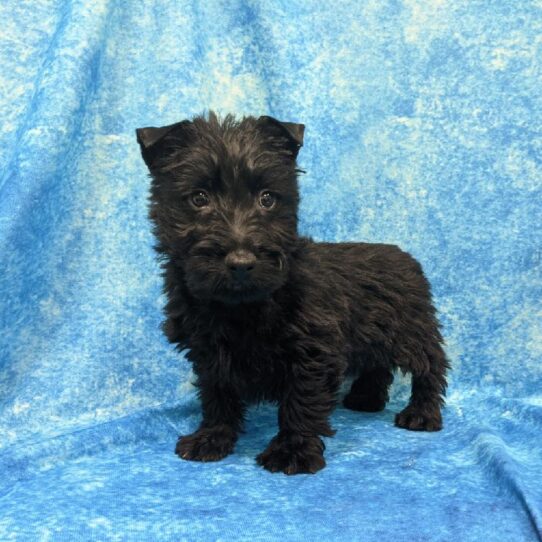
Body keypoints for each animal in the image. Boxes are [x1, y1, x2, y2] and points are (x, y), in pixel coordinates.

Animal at [136, 111, 450, 476]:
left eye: (267, 198)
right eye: (199, 198)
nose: (241, 263)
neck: (240, 305)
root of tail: (404, 256)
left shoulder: (312, 350)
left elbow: (301, 401)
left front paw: (292, 451)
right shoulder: (209, 351)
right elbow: (217, 395)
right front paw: (212, 438)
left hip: (412, 330)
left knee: (430, 367)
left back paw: (421, 414)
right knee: (377, 364)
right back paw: (365, 400)